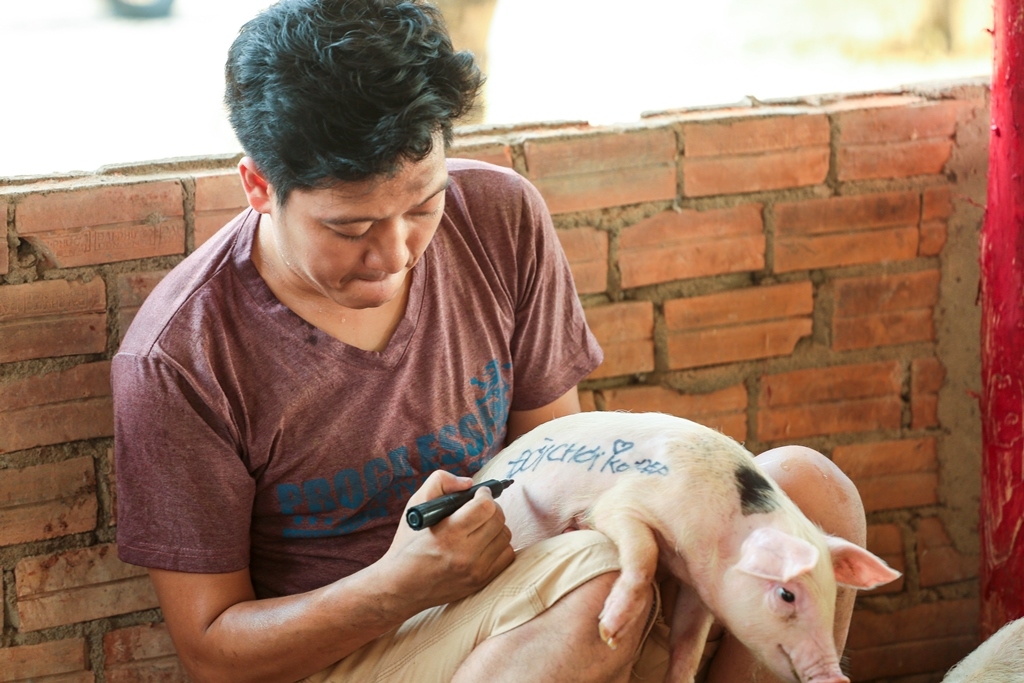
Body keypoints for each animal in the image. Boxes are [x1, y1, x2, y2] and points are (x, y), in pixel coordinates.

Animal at [468, 411, 897, 683]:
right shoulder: (619, 503)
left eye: (831, 594)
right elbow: (642, 552)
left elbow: (689, 639)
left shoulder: (698, 583)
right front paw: (611, 632)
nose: (837, 678)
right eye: (786, 594)